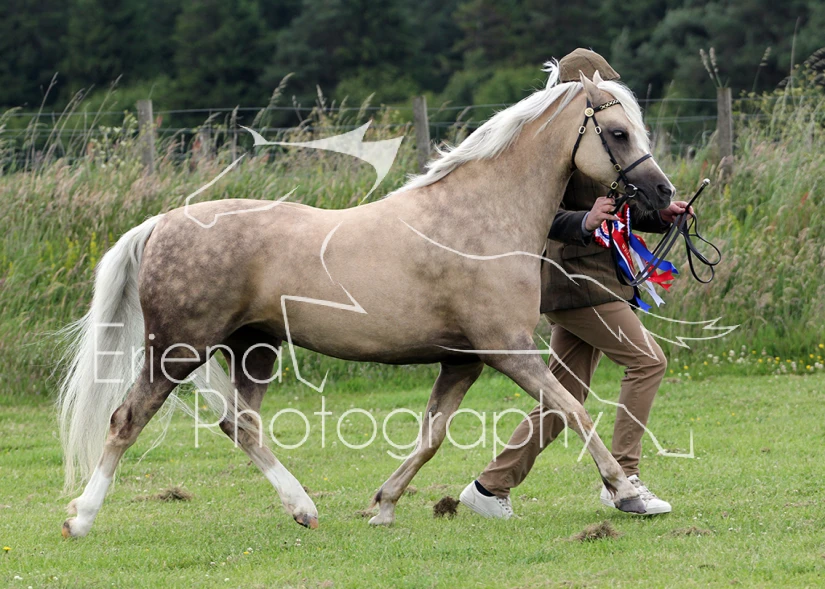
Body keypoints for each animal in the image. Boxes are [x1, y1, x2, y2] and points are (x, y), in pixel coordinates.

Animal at [58, 65, 675, 538]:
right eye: (618, 132)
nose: (664, 196)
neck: (480, 218)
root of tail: (161, 223)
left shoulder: (463, 361)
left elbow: (431, 437)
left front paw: (383, 505)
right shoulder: (508, 351)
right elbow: (572, 410)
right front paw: (627, 494)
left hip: (253, 348)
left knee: (240, 425)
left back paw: (303, 509)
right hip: (178, 350)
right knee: (127, 419)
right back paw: (81, 518)